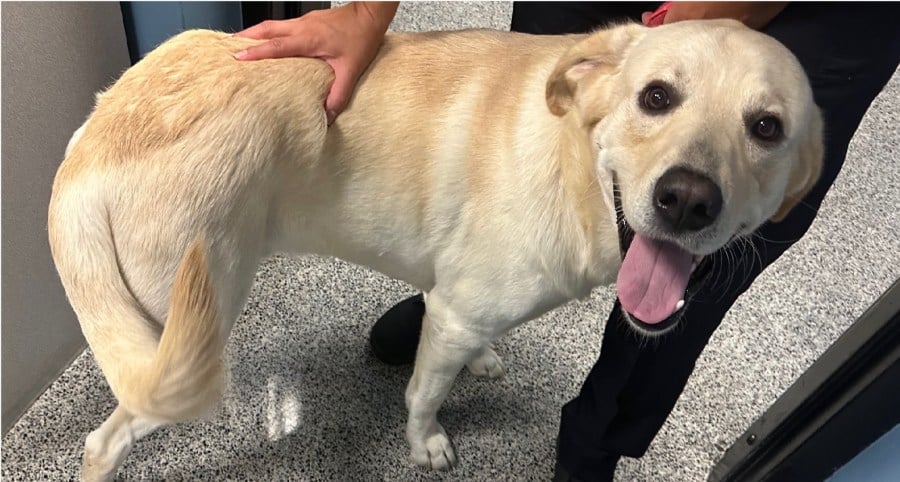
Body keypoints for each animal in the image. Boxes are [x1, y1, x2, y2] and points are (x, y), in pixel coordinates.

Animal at [51, 19, 824, 482]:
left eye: (766, 127)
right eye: (656, 97)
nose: (687, 199)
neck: (570, 159)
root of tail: (91, 145)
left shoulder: (451, 301)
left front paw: (479, 363)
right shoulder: (455, 314)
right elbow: (424, 394)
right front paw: (425, 444)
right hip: (178, 350)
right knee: (102, 441)